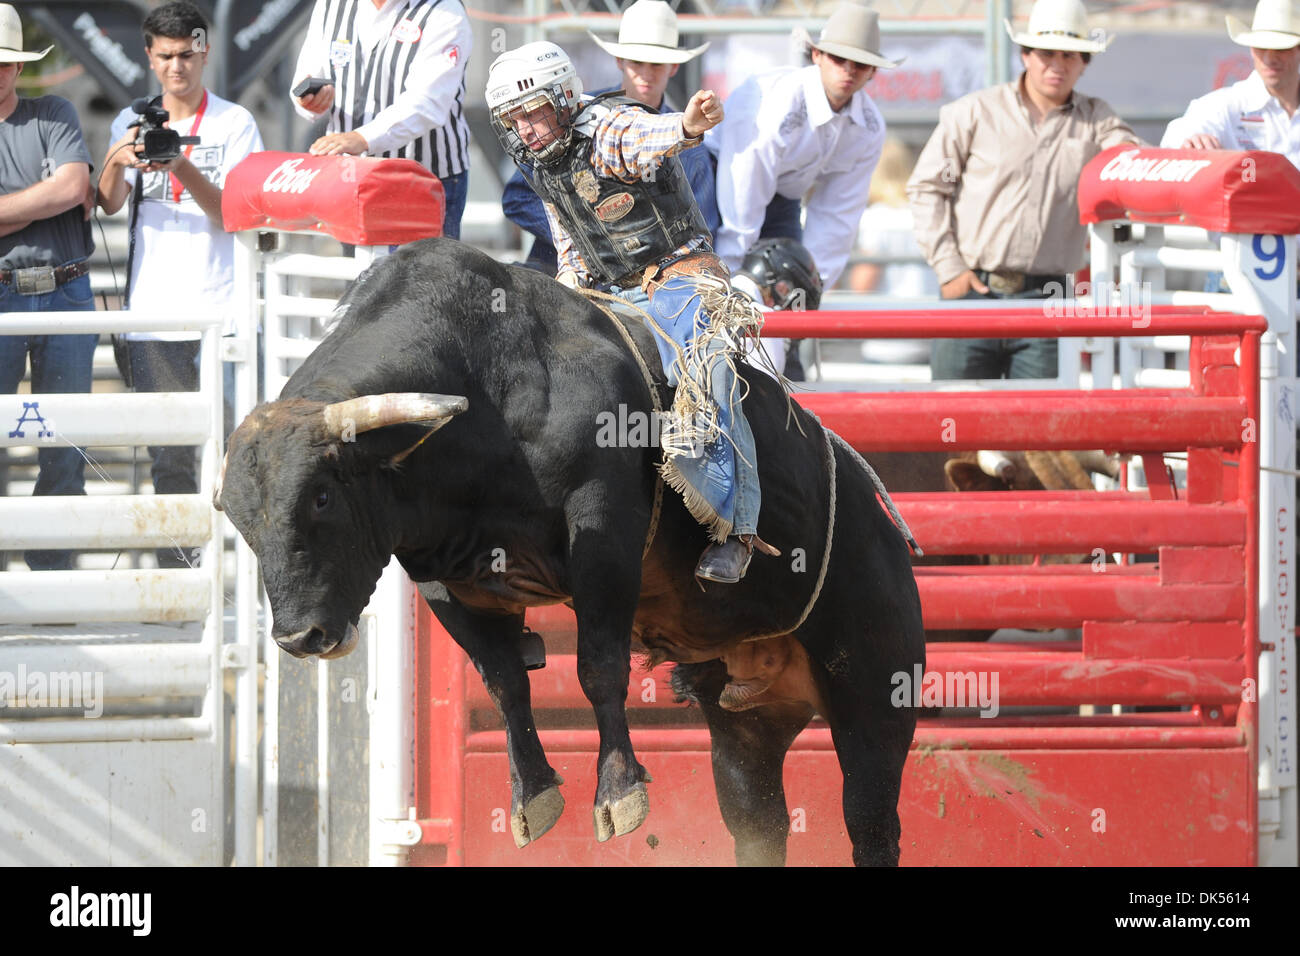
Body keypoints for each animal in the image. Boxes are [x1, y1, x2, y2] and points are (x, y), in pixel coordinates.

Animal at [215, 239, 925, 868]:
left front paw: (618, 793)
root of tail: (885, 522)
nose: (299, 638)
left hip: (875, 691)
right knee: (758, 820)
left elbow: (598, 668)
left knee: (872, 822)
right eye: (239, 519)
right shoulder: (441, 574)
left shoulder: (602, 533)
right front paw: (533, 795)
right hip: (746, 727)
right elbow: (503, 678)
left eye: (322, 497)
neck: (490, 392)